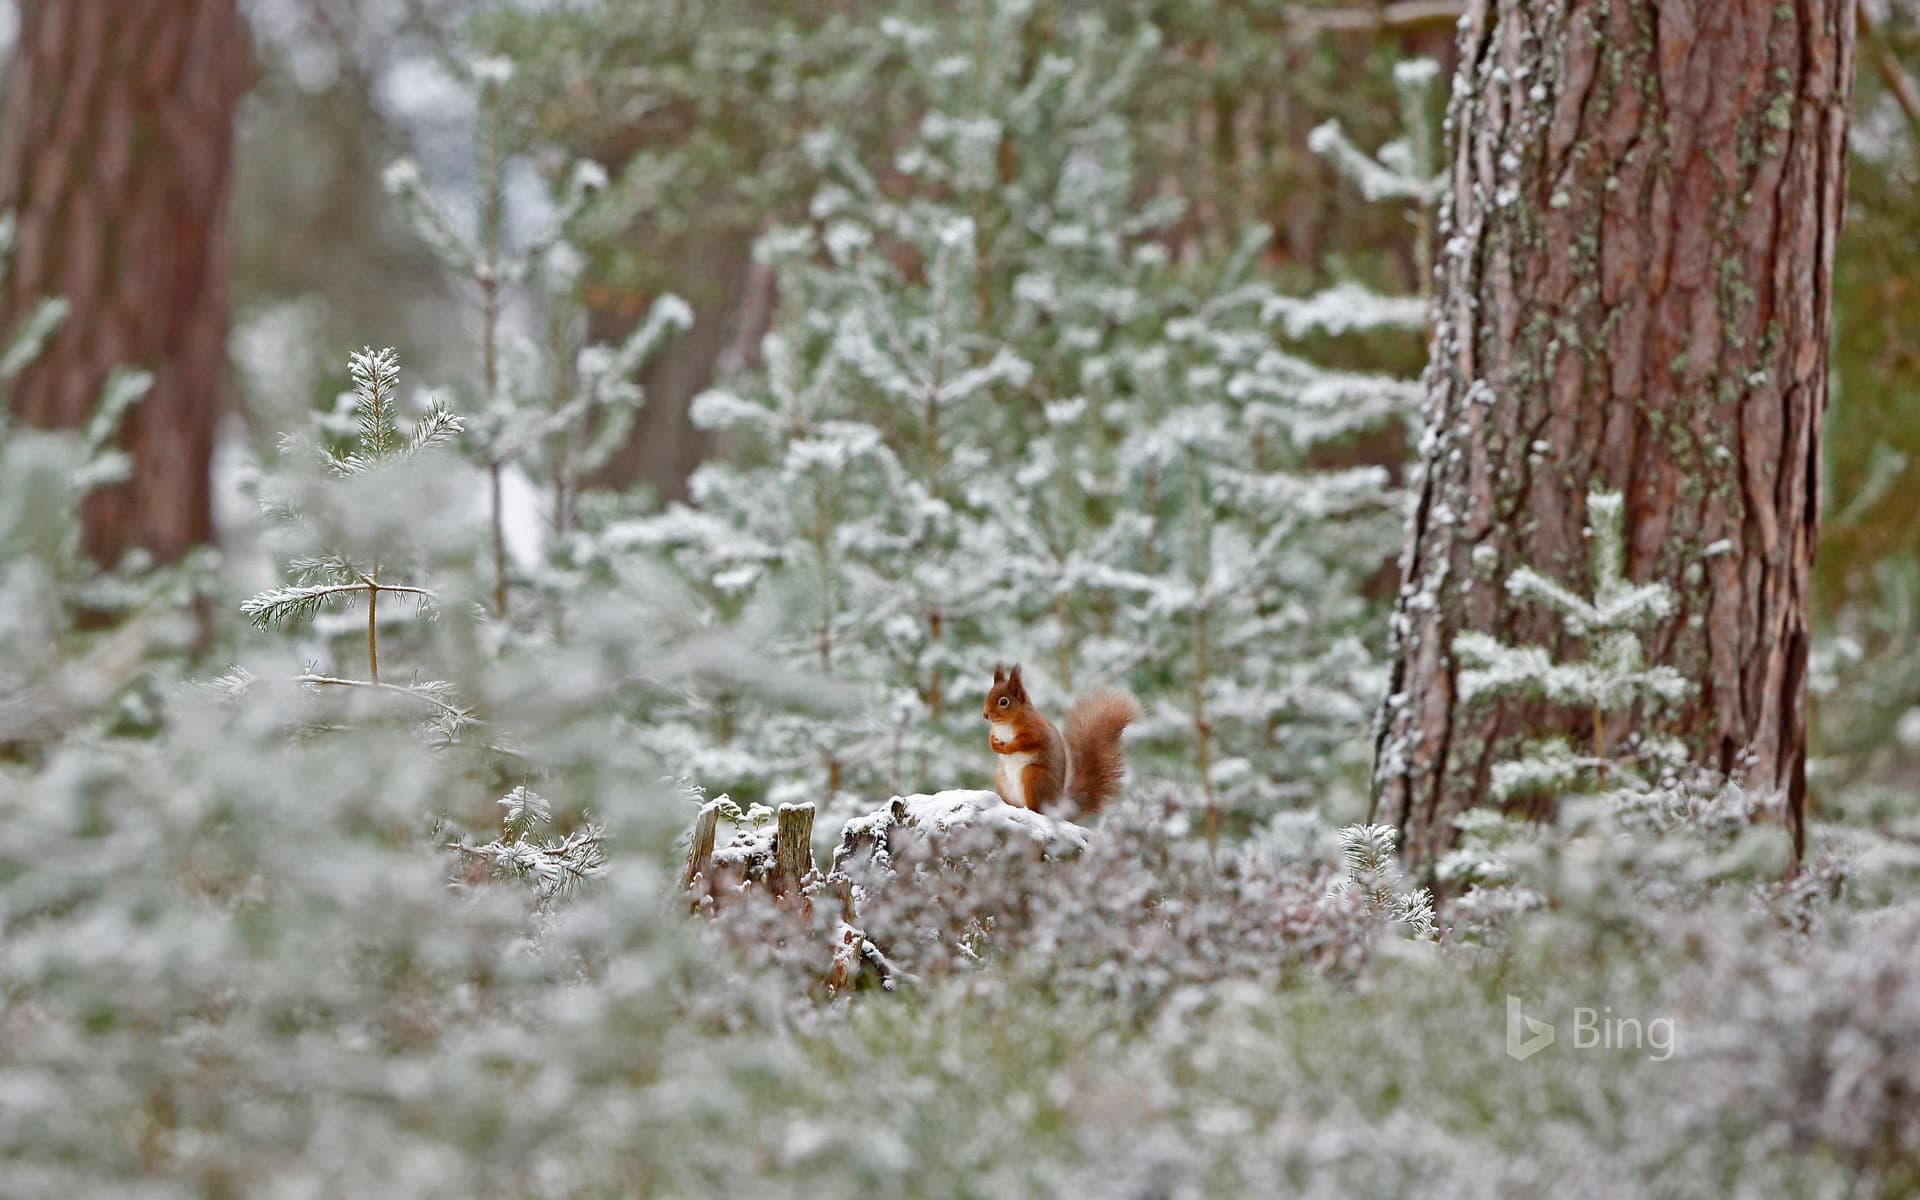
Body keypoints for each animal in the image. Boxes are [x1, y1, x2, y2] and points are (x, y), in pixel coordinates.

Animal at [982, 662, 1142, 815]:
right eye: (988, 695)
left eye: (1004, 702)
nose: (985, 715)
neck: (1005, 724)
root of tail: (1057, 806)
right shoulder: (994, 731)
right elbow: (991, 738)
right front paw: (993, 745)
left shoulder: (1036, 730)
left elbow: (1028, 742)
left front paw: (1007, 747)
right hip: (1001, 778)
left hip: (1033, 776)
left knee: (1037, 809)